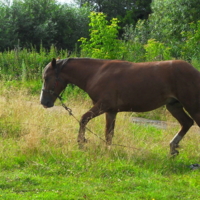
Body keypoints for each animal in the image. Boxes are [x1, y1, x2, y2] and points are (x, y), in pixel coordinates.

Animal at [39, 57, 200, 155]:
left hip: (193, 106)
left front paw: (81, 142)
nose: (44, 102)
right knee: (187, 123)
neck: (96, 74)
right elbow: (109, 134)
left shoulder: (103, 106)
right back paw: (173, 148)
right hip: (173, 106)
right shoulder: (111, 111)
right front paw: (108, 151)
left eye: (47, 78)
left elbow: (84, 119)